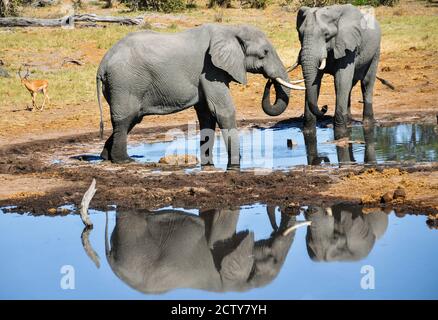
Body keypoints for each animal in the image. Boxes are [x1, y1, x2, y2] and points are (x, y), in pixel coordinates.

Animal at [96, 23, 304, 166]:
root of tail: (102, 64)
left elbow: (206, 115)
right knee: (125, 119)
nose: (269, 81)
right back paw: (124, 161)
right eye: (264, 53)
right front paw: (236, 162)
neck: (230, 29)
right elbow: (222, 110)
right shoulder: (210, 69)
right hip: (125, 83)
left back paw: (105, 157)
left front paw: (207, 162)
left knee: (130, 119)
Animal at [292, 4, 384, 136]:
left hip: (376, 49)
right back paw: (349, 122)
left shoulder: (348, 44)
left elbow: (341, 79)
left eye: (326, 34)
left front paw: (340, 133)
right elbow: (316, 81)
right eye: (300, 34)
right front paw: (308, 131)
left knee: (366, 82)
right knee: (350, 85)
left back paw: (368, 123)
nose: (324, 107)